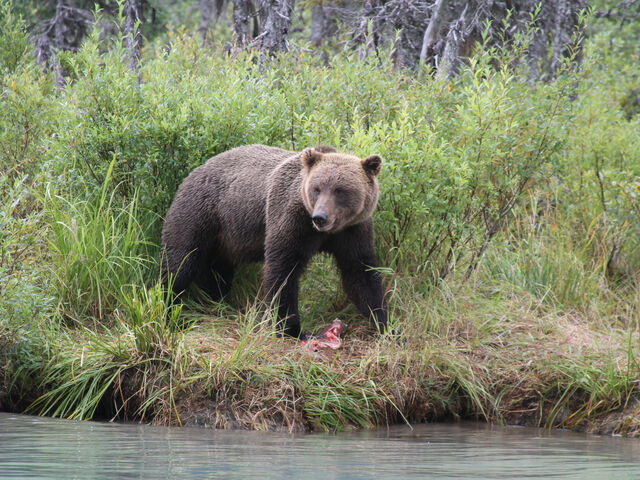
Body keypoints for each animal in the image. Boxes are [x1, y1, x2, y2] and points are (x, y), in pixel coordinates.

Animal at [162, 144, 388, 336]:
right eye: (317, 188)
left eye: (340, 190)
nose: (320, 217)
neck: (327, 232)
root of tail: (194, 171)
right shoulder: (292, 219)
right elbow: (283, 270)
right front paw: (290, 328)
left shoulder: (353, 231)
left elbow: (360, 272)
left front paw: (383, 322)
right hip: (200, 215)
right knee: (180, 262)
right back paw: (167, 305)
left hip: (224, 240)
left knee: (217, 273)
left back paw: (216, 300)